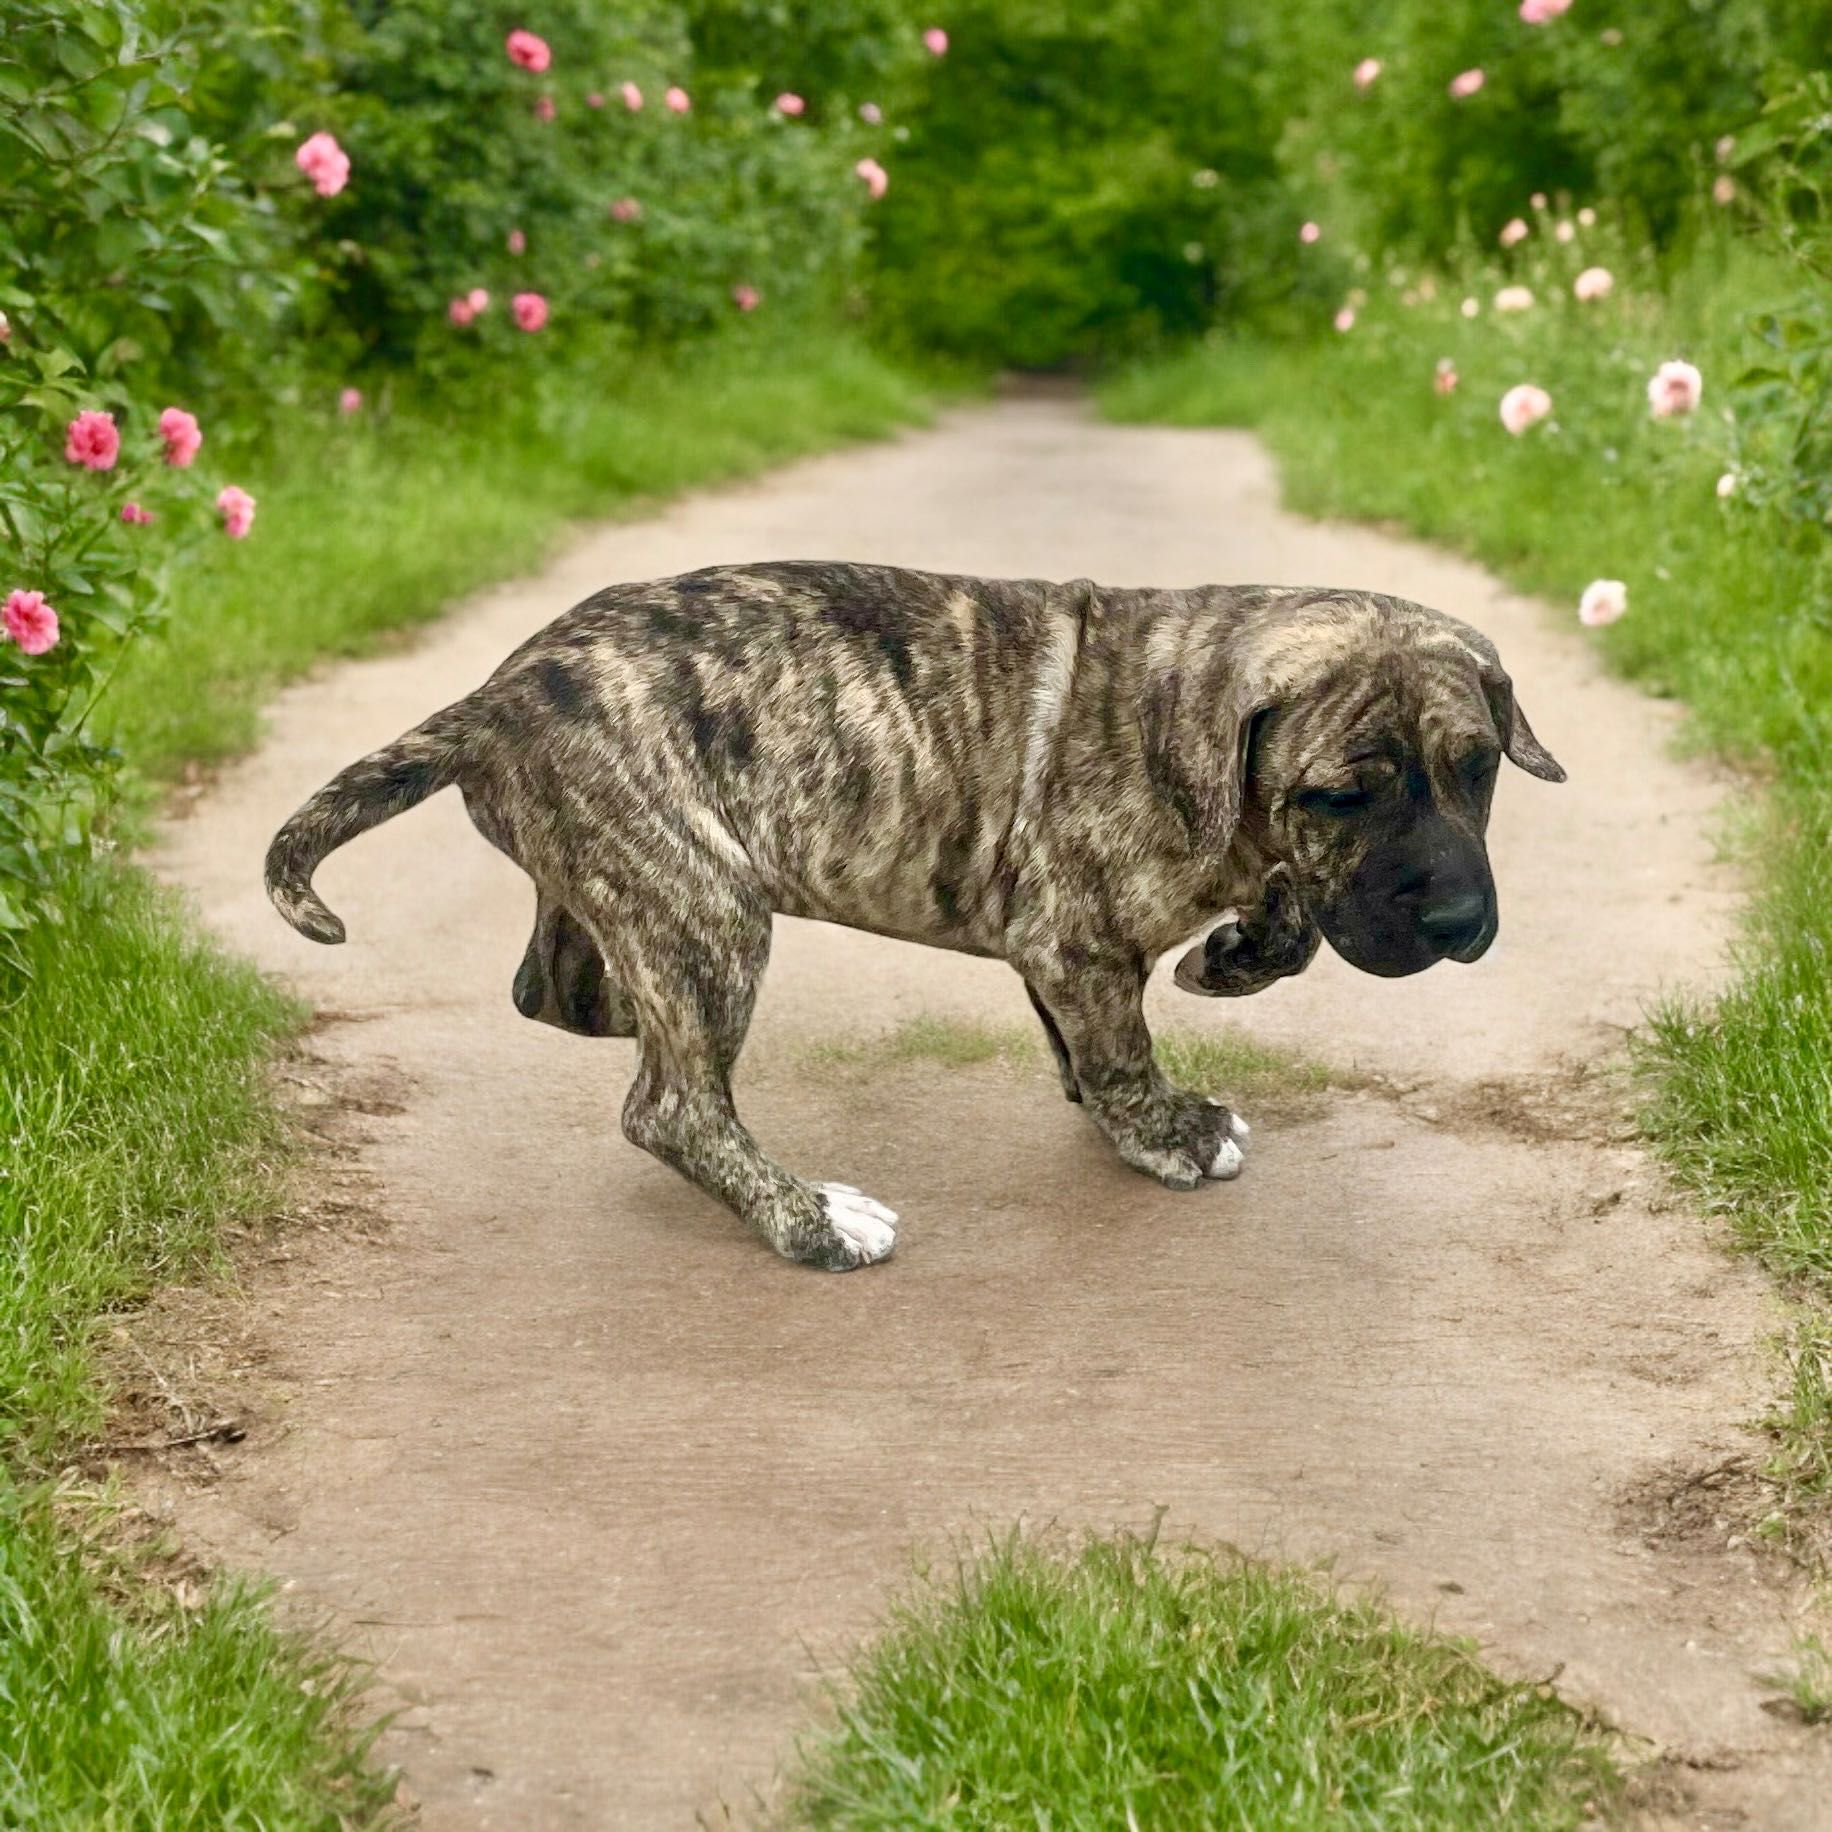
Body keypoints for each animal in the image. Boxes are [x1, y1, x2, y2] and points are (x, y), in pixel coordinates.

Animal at [265, 571, 1568, 1275]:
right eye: (1342, 795)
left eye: (1476, 768)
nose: (1458, 915)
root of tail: (491, 697)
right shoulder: (1075, 936)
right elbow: (1120, 1045)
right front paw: (1166, 1132)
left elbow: (1241, 940)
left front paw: (1237, 950)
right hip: (708, 905)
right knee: (670, 1103)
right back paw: (813, 1219)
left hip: (634, 881)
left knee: (554, 984)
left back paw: (611, 1006)